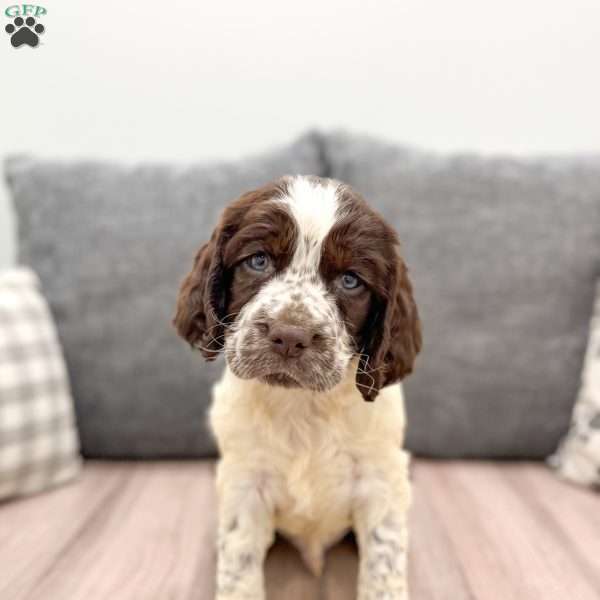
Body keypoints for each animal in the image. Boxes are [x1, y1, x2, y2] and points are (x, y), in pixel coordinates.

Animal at [173, 175, 422, 600]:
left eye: (350, 281)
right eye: (258, 261)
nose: (290, 336)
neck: (303, 406)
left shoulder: (381, 481)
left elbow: (384, 561)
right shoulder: (244, 482)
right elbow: (238, 564)